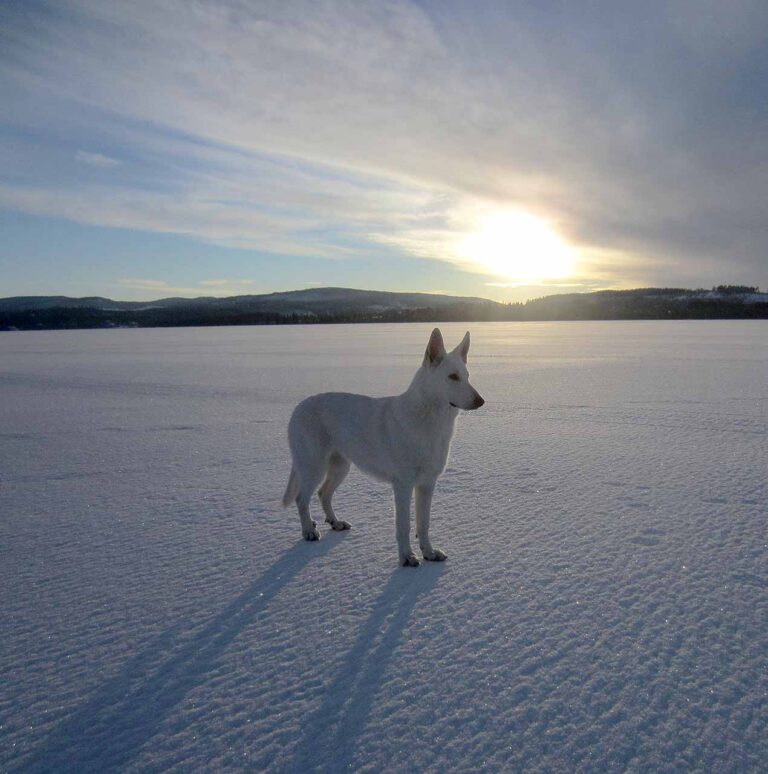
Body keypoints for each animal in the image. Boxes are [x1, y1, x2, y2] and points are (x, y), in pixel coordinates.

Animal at [282, 330, 486, 568]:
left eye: (467, 376)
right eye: (452, 377)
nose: (481, 401)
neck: (430, 422)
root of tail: (298, 407)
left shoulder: (427, 484)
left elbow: (423, 524)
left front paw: (429, 553)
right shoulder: (403, 486)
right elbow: (404, 526)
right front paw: (407, 558)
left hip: (340, 467)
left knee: (323, 493)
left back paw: (335, 522)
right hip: (314, 466)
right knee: (301, 498)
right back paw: (309, 531)